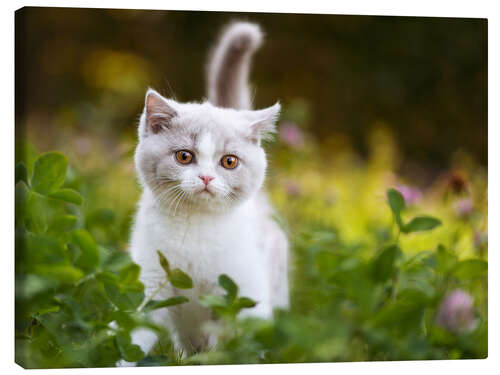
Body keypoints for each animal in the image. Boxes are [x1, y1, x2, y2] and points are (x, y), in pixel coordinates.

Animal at [127, 22, 288, 360]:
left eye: (229, 161)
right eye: (184, 156)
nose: (206, 178)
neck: (195, 225)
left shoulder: (245, 288)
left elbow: (242, 337)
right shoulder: (153, 279)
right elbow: (134, 330)